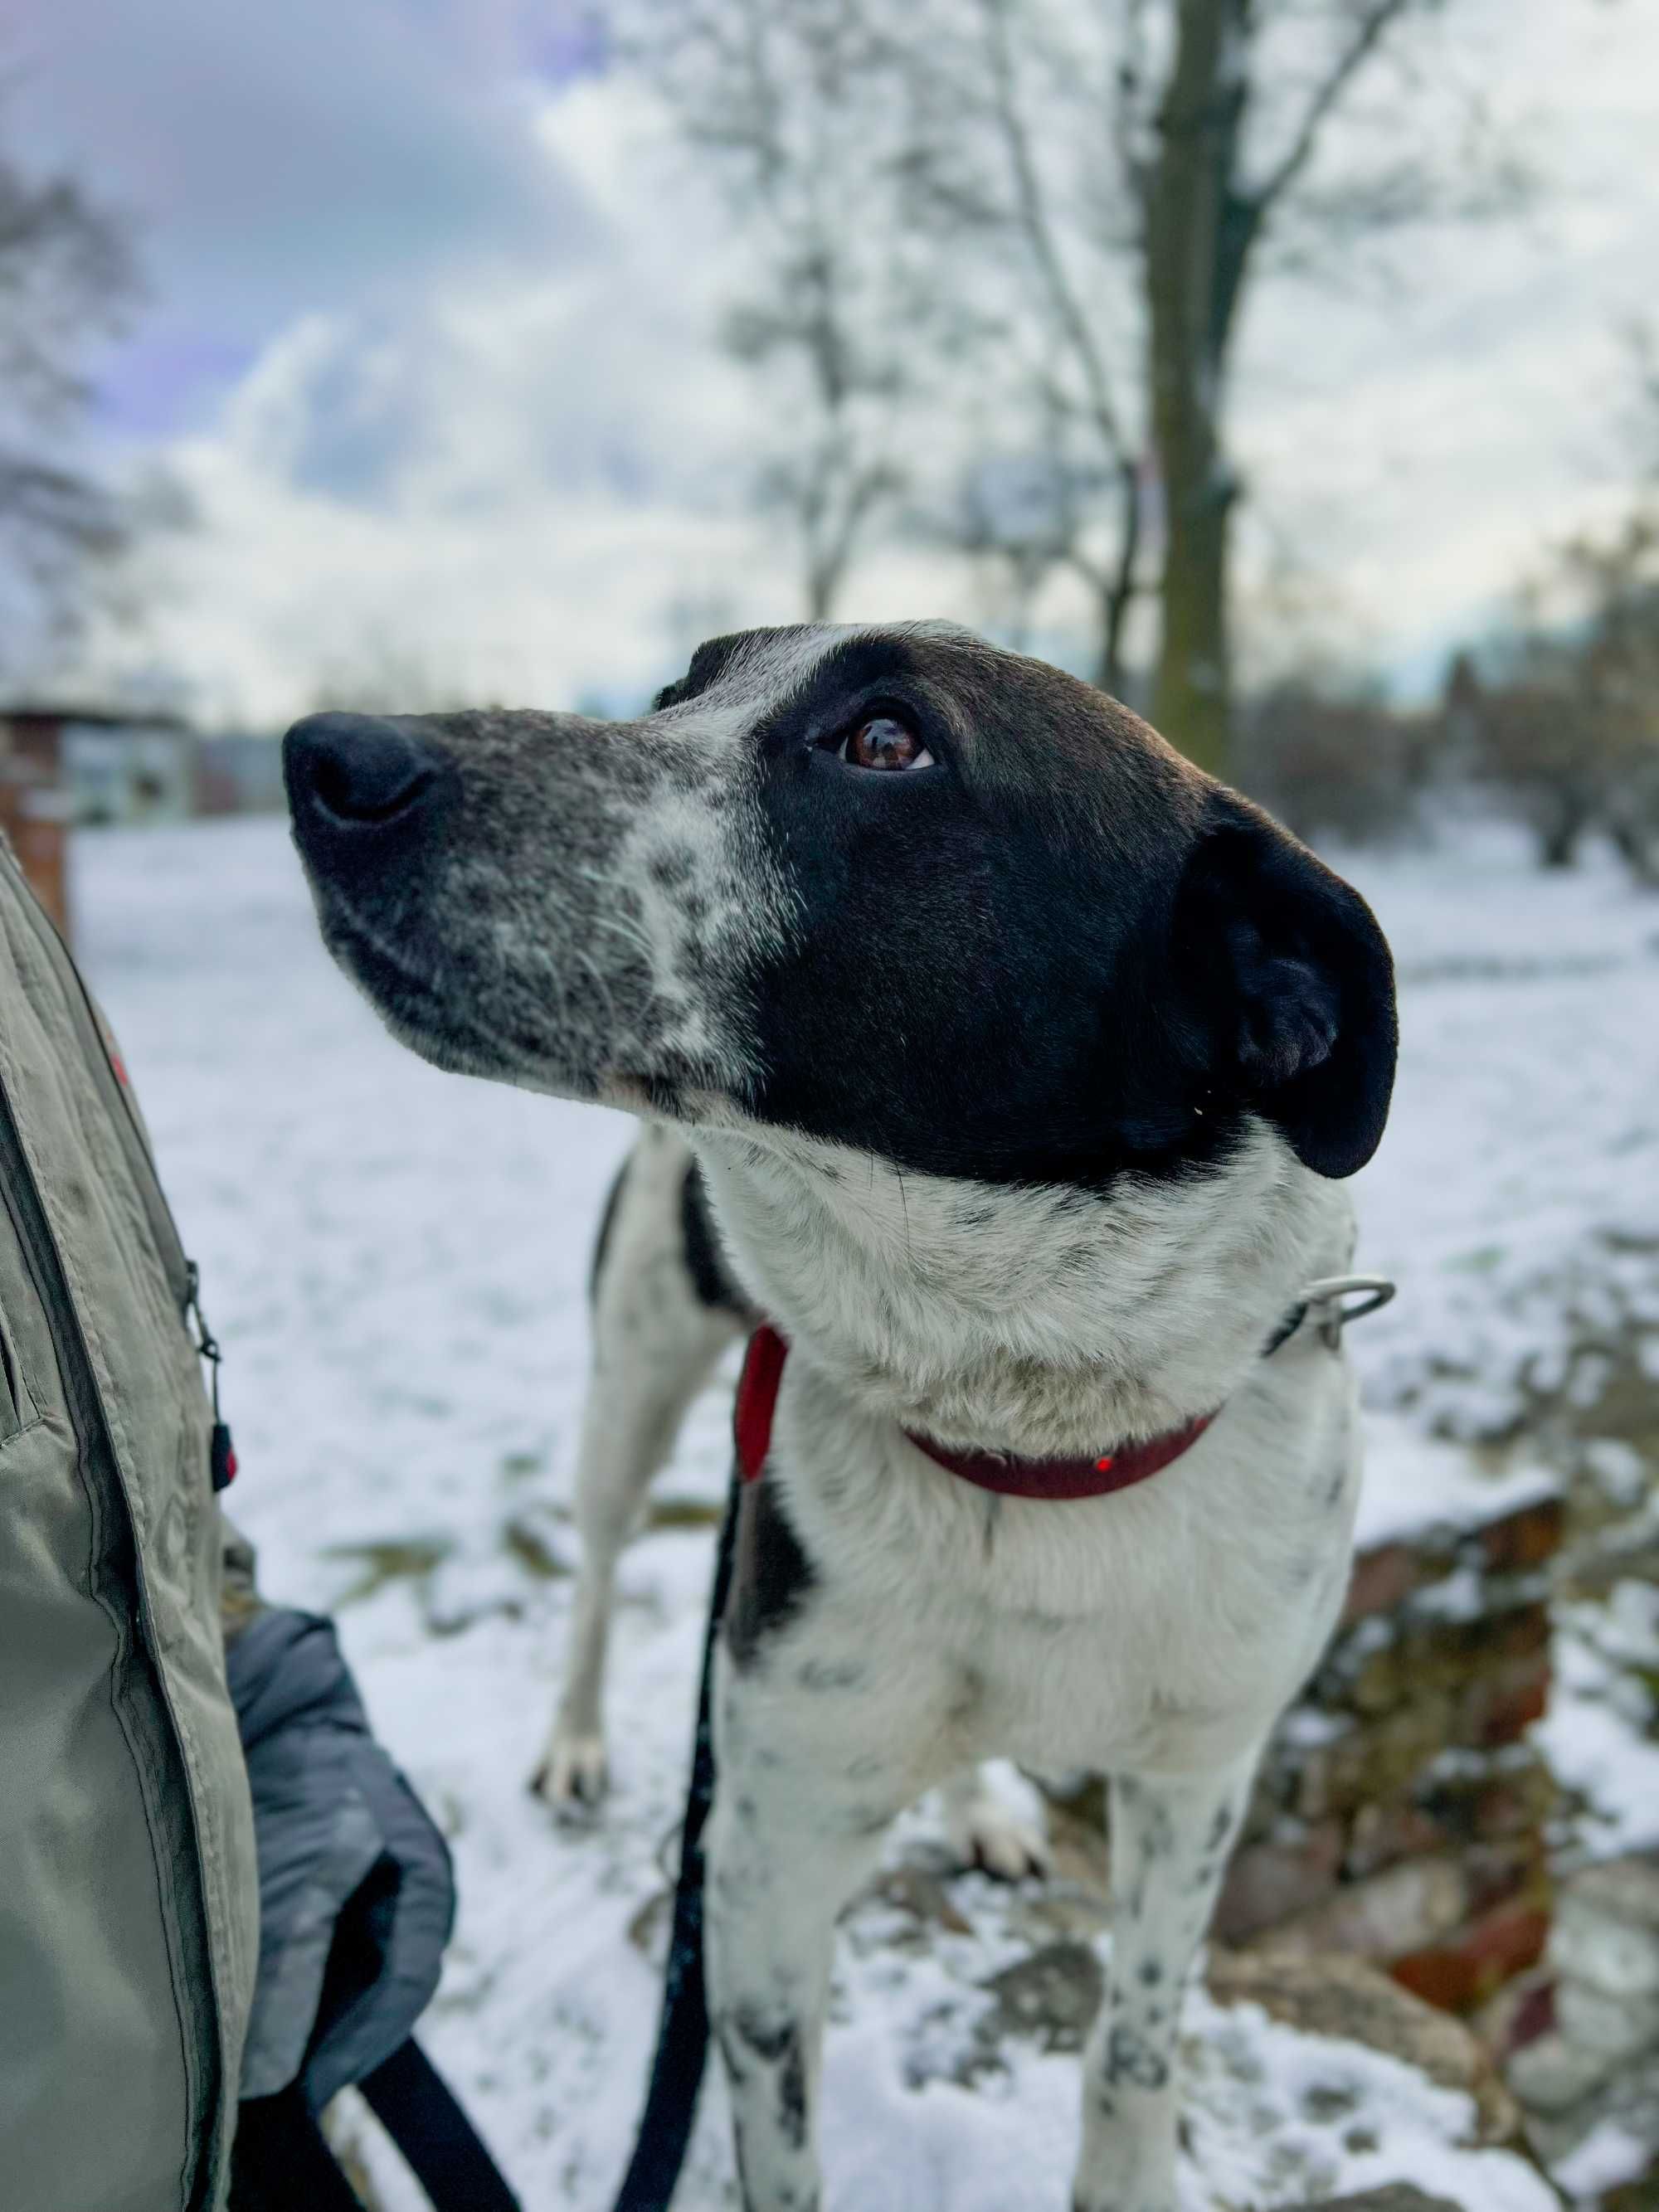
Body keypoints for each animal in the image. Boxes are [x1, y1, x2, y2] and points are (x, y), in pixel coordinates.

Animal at [289, 624, 1407, 2212]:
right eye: (678, 692)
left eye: (888, 742)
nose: (329, 757)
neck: (1027, 1432)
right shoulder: (766, 1863)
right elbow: (781, 2139)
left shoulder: (1199, 1775)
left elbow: (1136, 2041)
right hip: (631, 1380)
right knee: (596, 1564)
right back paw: (575, 1737)